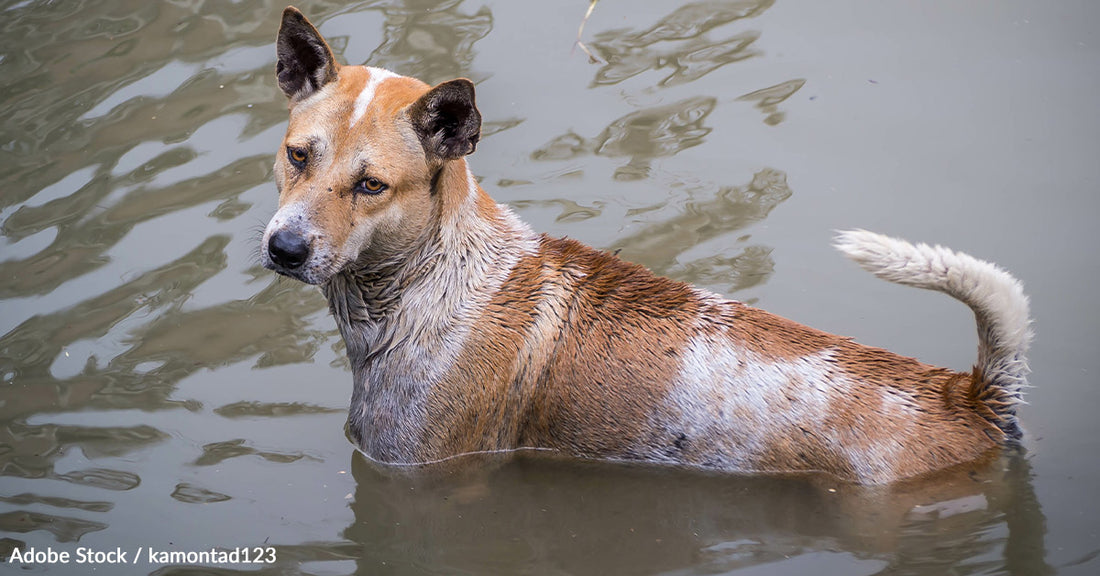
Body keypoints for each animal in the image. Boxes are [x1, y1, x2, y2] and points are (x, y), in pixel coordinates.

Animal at [261, 6, 1034, 483]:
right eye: (298, 155)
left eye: (371, 185)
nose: (285, 248)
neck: (429, 282)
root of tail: (967, 394)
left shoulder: (422, 472)